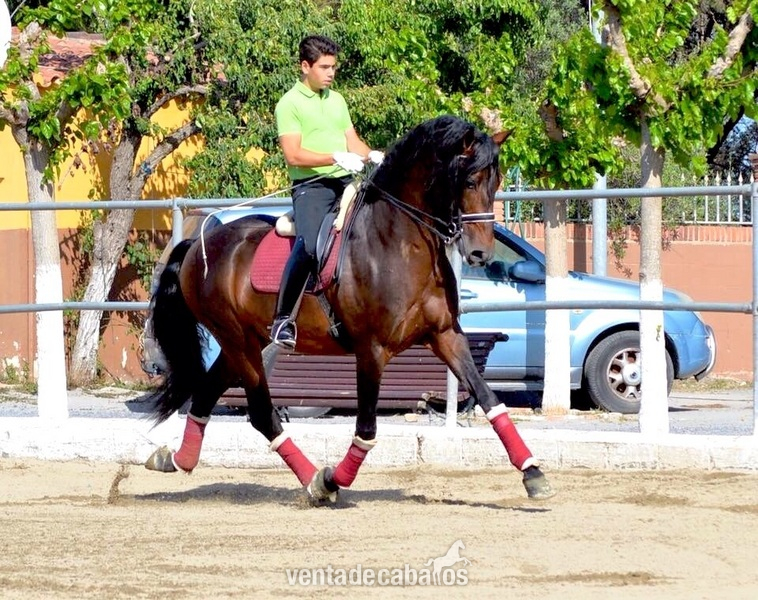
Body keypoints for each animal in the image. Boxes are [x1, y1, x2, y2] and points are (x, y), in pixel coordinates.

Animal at [143, 114, 555, 502]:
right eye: (468, 182)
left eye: (496, 182)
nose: (480, 254)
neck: (401, 243)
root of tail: (199, 243)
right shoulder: (371, 350)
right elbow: (367, 429)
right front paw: (332, 480)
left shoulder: (445, 336)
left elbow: (490, 400)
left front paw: (533, 474)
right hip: (238, 343)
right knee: (260, 413)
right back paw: (314, 482)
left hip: (243, 344)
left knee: (207, 394)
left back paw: (174, 459)